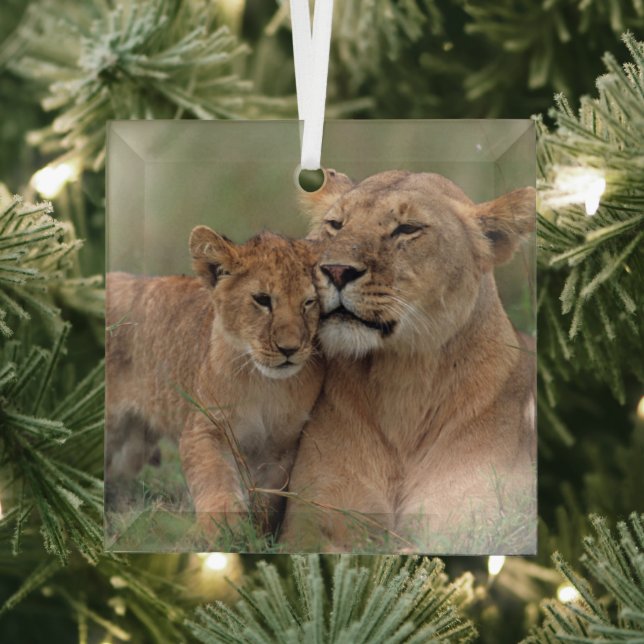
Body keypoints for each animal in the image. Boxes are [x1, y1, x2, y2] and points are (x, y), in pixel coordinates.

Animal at [105, 226, 324, 535]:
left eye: (308, 302)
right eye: (262, 299)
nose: (289, 349)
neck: (265, 384)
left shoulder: (281, 447)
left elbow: (267, 497)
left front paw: (256, 532)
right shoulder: (205, 427)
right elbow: (214, 476)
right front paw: (222, 526)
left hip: (131, 447)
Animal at [281, 169, 536, 553]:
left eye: (407, 228)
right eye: (336, 225)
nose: (336, 270)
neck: (403, 381)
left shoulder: (473, 524)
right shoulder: (312, 518)